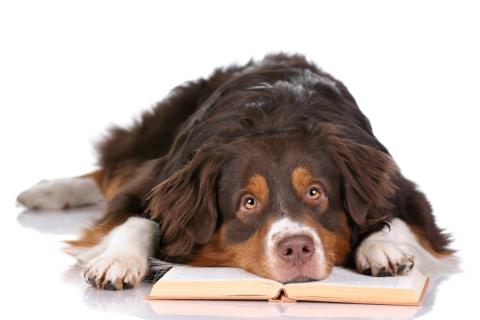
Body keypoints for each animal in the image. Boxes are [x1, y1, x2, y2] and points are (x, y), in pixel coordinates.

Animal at [16, 53, 456, 290]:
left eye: (315, 192)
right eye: (248, 202)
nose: (297, 248)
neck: (274, 118)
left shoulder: (399, 185)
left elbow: (404, 221)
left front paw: (381, 248)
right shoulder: (157, 181)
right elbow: (134, 220)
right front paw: (118, 261)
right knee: (110, 170)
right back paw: (45, 192)